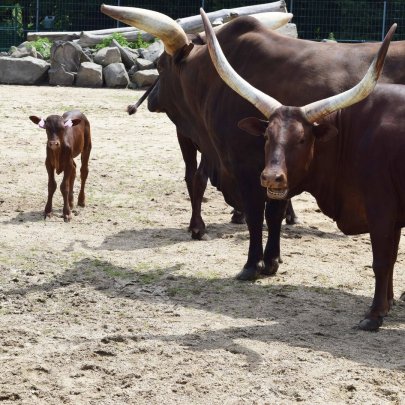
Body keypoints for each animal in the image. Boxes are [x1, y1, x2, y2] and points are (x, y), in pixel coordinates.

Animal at [204, 15, 400, 330]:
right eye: (267, 136)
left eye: (302, 139)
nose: (271, 177)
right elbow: (390, 258)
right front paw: (389, 303)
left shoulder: (381, 207)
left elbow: (382, 259)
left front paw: (374, 315)